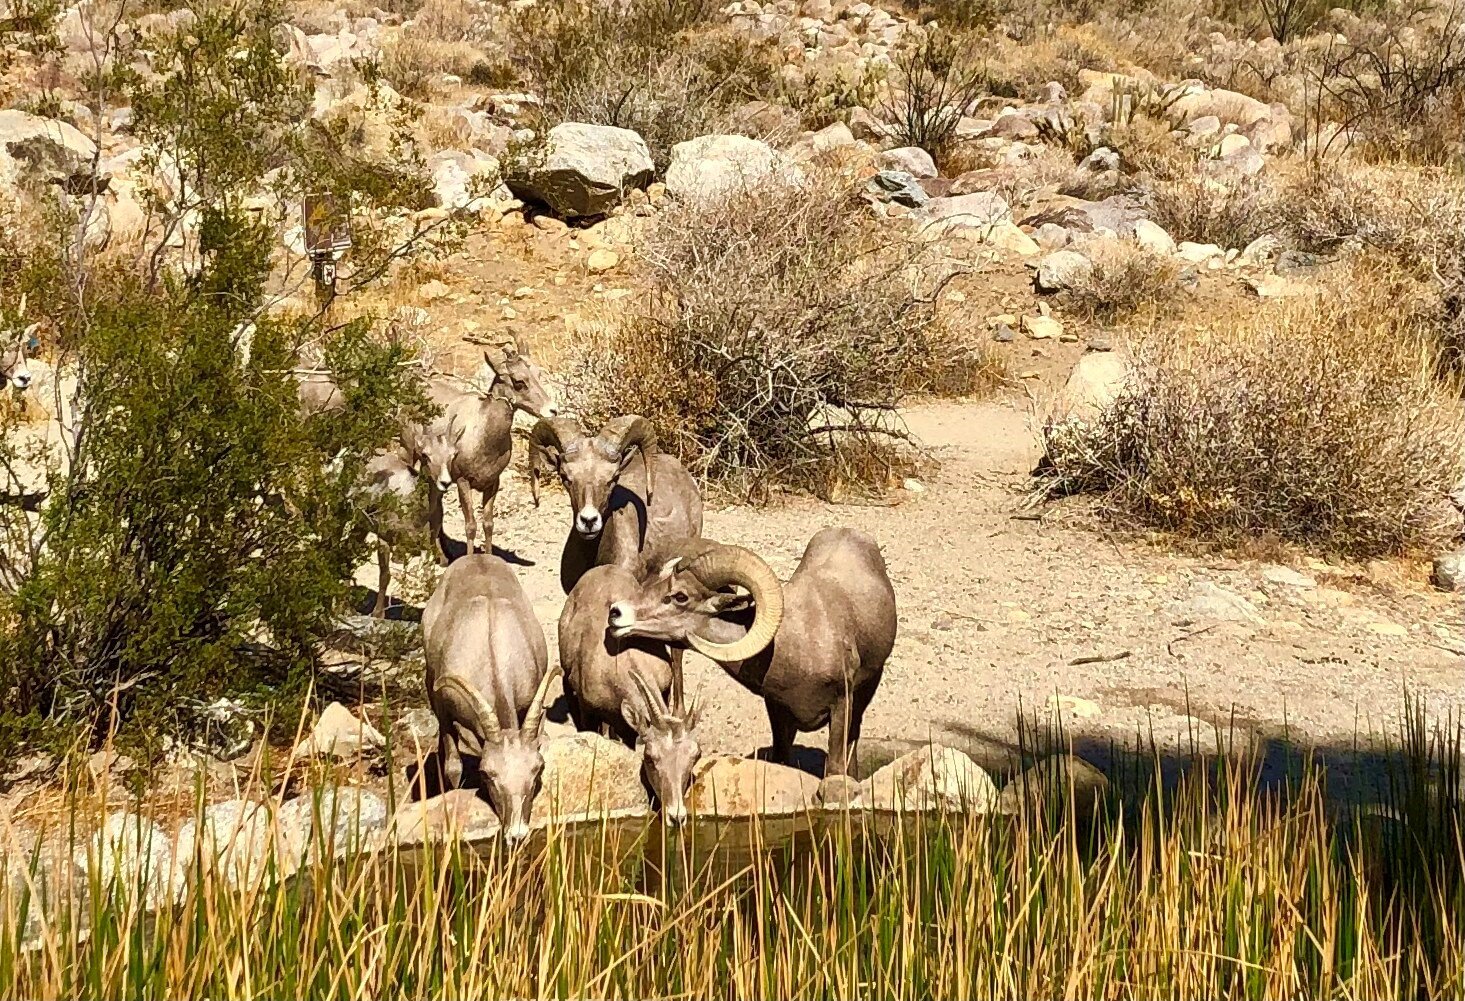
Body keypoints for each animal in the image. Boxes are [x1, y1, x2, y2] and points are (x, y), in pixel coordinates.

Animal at [404, 343, 557, 561]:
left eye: (537, 374)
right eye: (519, 382)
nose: (552, 410)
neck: (484, 438)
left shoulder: (492, 484)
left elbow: (488, 525)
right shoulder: (463, 482)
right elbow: (471, 526)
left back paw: (443, 556)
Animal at [422, 553, 556, 843]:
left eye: (537, 769)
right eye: (487, 774)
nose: (517, 835)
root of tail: (476, 557)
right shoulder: (445, 712)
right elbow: (453, 766)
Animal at [605, 528, 896, 783]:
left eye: (680, 596)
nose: (616, 613)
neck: (796, 646)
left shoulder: (841, 706)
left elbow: (836, 767)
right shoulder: (778, 712)